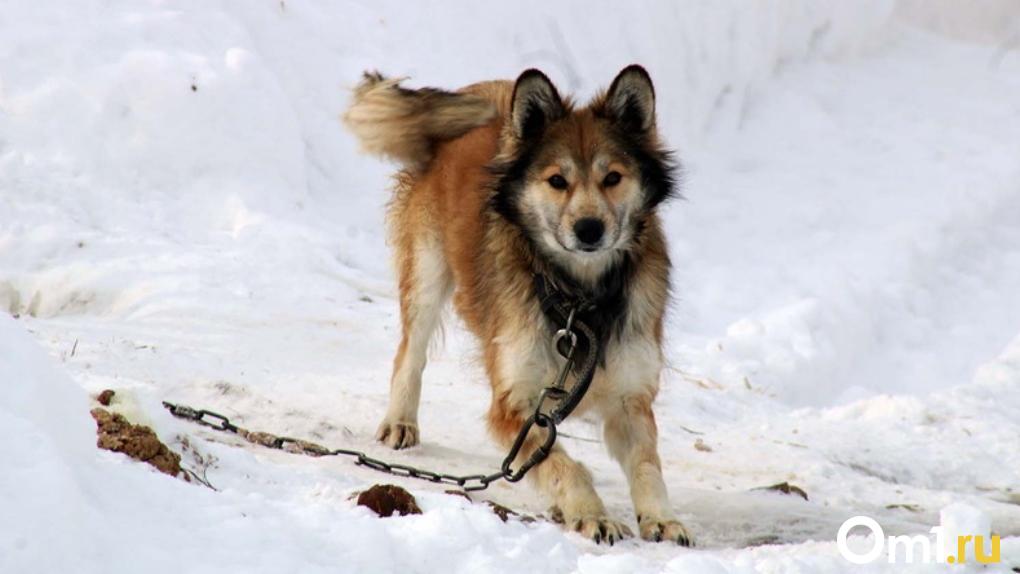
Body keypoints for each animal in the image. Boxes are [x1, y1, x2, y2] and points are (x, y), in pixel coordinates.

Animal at [344, 65, 693, 546]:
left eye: (613, 178)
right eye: (557, 181)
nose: (589, 229)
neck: (577, 300)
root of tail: (485, 92)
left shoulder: (630, 398)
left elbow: (646, 466)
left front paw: (662, 518)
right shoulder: (513, 404)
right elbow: (563, 464)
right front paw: (592, 514)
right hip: (427, 273)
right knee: (410, 354)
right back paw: (400, 420)